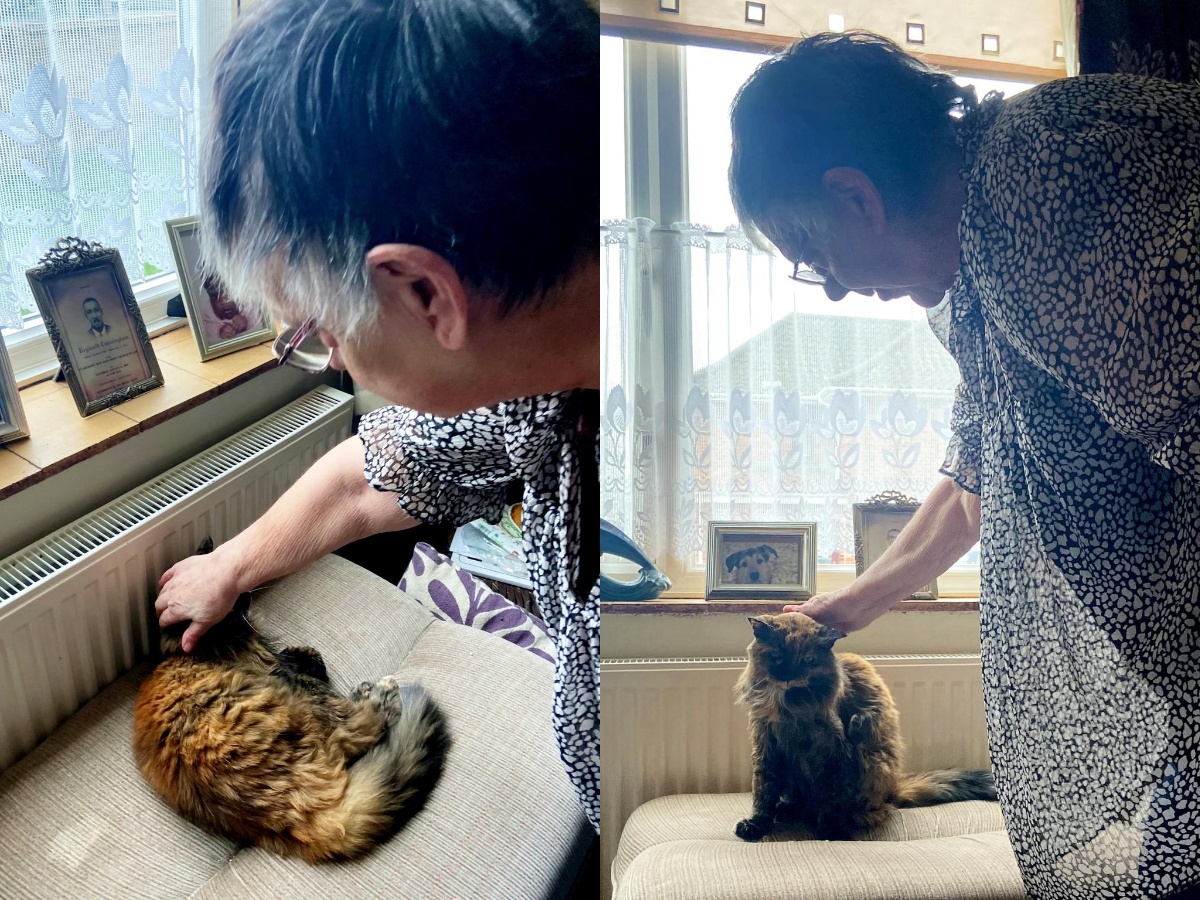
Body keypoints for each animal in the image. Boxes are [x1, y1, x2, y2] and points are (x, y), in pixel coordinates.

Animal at [132, 540, 451, 864]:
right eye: (232, 602)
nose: (246, 592)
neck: (197, 648)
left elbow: (309, 656)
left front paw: (305, 656)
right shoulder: (282, 671)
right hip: (305, 709)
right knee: (363, 725)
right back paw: (378, 692)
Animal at [729, 614, 993, 844]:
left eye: (807, 660)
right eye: (776, 656)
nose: (788, 675)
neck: (788, 705)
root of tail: (893, 789)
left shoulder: (833, 753)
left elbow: (830, 797)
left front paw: (829, 832)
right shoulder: (766, 747)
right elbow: (763, 792)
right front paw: (757, 825)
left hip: (871, 761)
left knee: (866, 809)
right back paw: (787, 809)